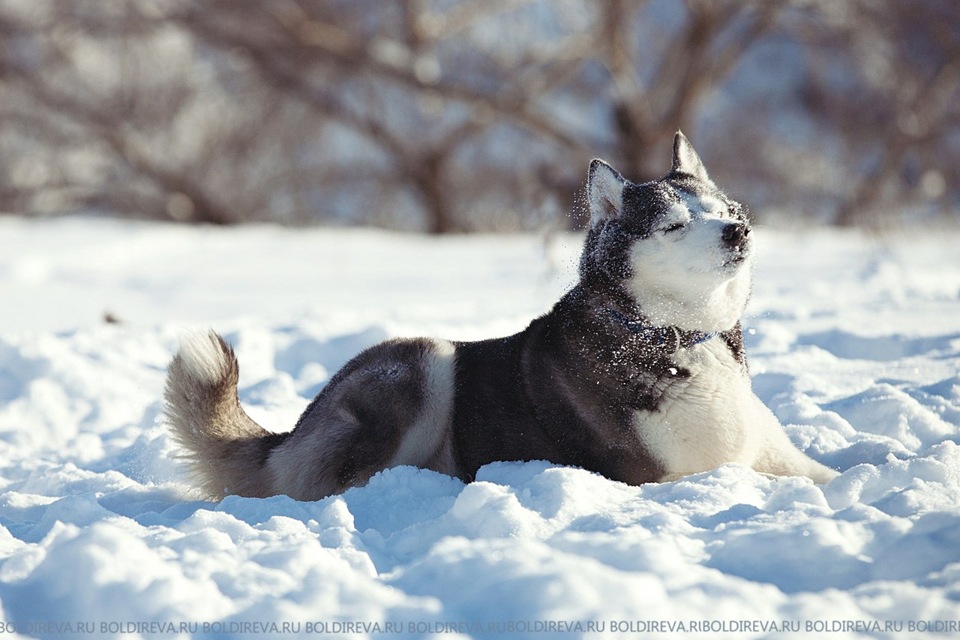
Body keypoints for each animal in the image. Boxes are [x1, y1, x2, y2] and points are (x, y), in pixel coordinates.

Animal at [167, 131, 840, 500]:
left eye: (724, 209)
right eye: (675, 225)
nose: (738, 231)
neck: (673, 336)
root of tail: (291, 433)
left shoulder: (780, 458)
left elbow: (831, 474)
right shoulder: (664, 477)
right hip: (425, 359)